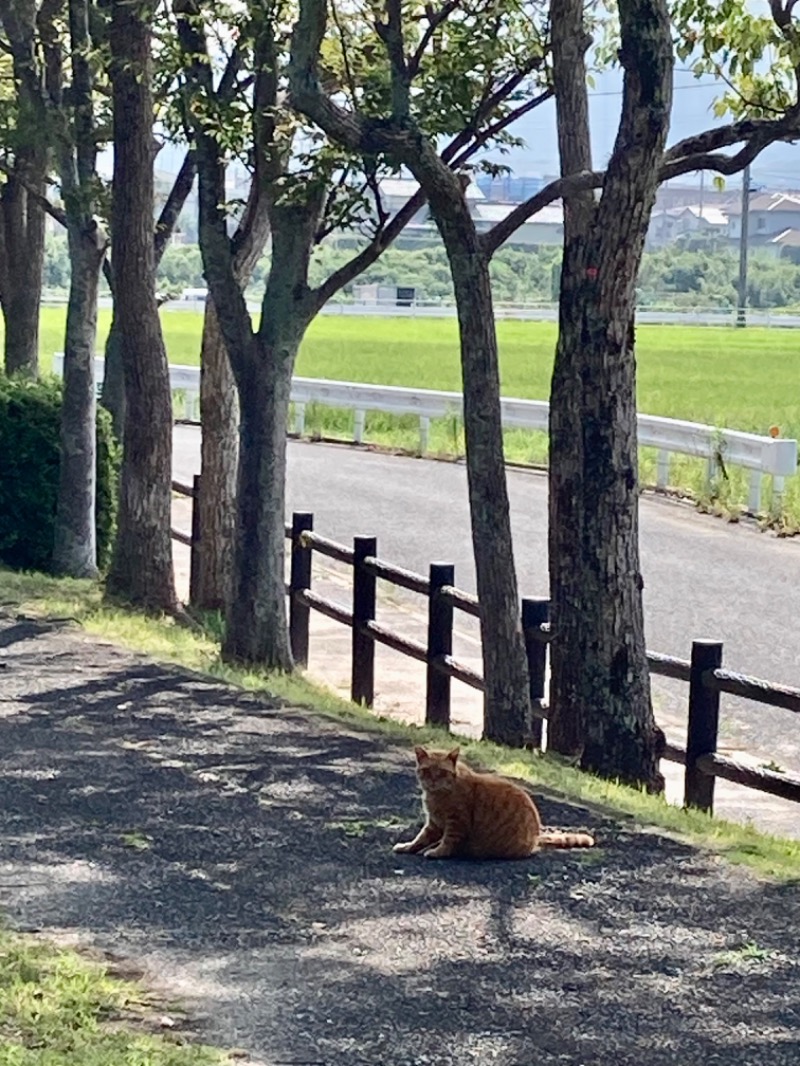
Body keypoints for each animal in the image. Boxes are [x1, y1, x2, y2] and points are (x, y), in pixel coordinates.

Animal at [394, 746, 597, 861]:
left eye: (442, 773)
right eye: (427, 771)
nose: (433, 781)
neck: (437, 796)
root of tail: (536, 835)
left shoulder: (456, 823)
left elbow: (448, 842)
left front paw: (438, 852)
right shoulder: (434, 824)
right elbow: (419, 839)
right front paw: (408, 847)